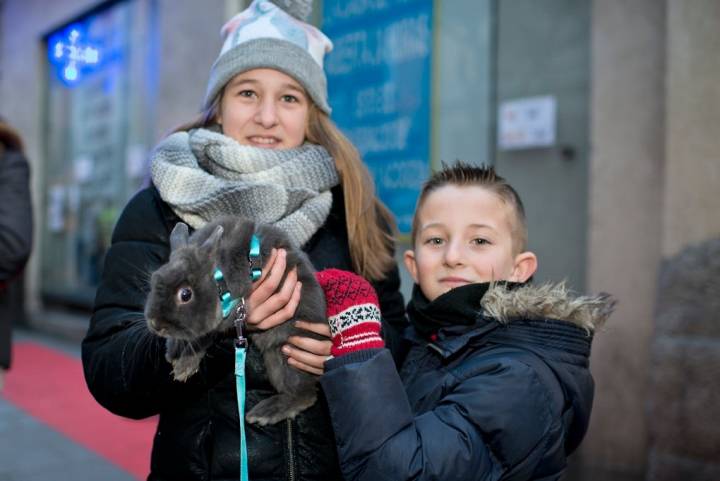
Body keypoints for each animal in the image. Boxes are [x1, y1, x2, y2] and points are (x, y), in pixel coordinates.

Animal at [145, 216, 324, 426]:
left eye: (185, 294)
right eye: (154, 280)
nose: (155, 324)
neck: (218, 277)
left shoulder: (228, 316)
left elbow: (201, 338)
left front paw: (183, 367)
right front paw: (174, 352)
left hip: (286, 353)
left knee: (305, 394)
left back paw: (265, 412)